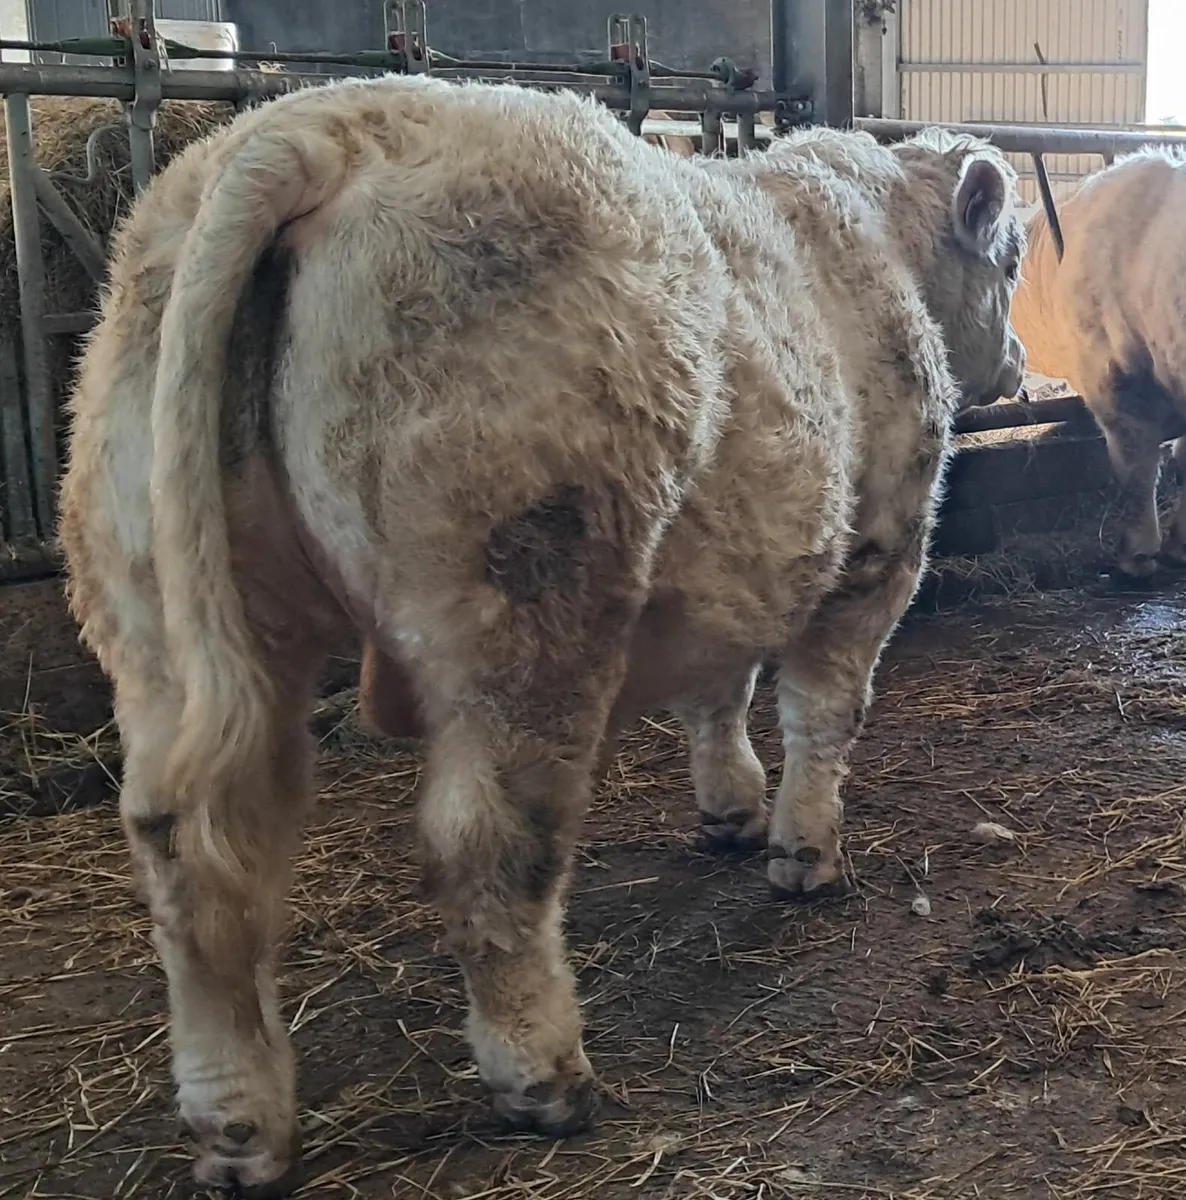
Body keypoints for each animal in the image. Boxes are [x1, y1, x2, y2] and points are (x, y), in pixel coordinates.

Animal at [58, 73, 1024, 1196]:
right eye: (1011, 262)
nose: (1020, 360)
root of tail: (313, 127)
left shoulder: (736, 559)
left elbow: (718, 692)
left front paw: (731, 810)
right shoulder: (877, 545)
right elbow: (823, 711)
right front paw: (803, 851)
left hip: (151, 603)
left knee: (190, 847)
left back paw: (238, 1122)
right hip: (523, 595)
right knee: (488, 843)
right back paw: (543, 1073)